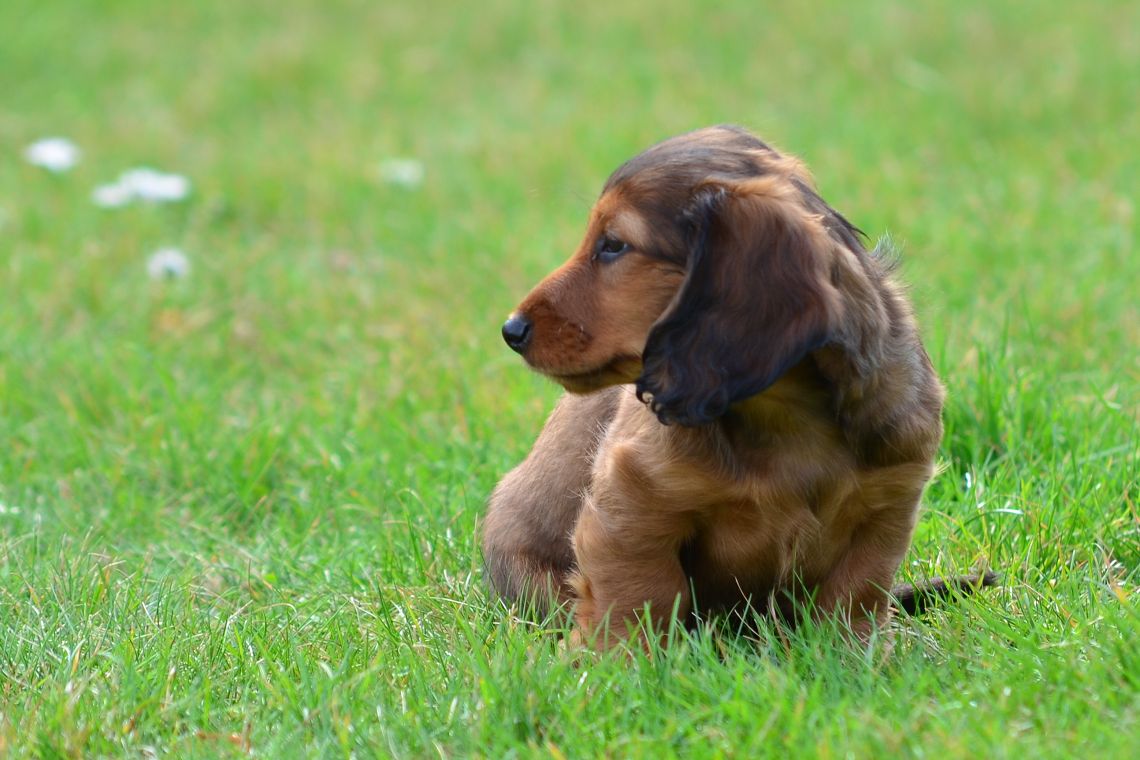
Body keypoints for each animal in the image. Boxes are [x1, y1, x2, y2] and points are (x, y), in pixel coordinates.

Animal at [484, 125, 994, 650]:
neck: (781, 409)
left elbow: (856, 593)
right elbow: (640, 591)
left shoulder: (889, 503)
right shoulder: (632, 499)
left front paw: (856, 656)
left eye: (613, 245)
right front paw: (615, 660)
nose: (511, 330)